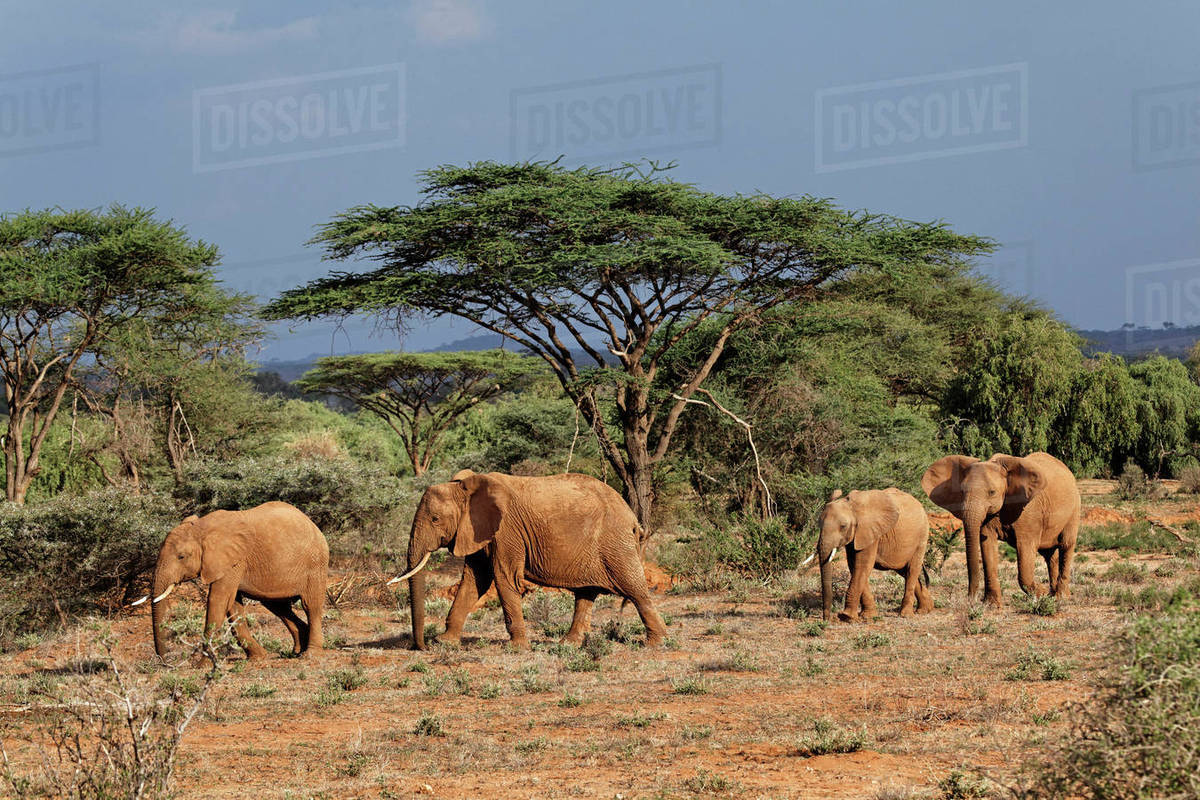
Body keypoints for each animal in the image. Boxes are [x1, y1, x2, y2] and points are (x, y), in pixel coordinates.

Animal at [135, 502, 329, 660]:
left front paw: (202, 665)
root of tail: (312, 524)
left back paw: (310, 655)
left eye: (181, 557)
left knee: (310, 605)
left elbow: (218, 602)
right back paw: (297, 651)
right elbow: (233, 606)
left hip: (315, 564)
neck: (202, 528)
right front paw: (258, 658)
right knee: (279, 608)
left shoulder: (233, 562)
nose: (164, 660)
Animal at [392, 469, 666, 650]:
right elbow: (474, 581)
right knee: (585, 594)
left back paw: (656, 642)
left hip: (615, 543)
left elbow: (504, 579)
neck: (467, 487)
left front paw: (517, 648)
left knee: (635, 589)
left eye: (435, 519)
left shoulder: (506, 531)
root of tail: (632, 518)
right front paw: (445, 642)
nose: (422, 646)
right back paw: (568, 644)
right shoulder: (477, 531)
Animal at [805, 488, 934, 622]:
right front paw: (868, 616)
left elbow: (863, 565)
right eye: (819, 524)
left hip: (922, 535)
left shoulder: (869, 531)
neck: (852, 507)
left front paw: (846, 617)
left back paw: (906, 615)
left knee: (912, 569)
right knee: (904, 570)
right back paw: (926, 609)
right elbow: (854, 565)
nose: (827, 619)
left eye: (843, 526)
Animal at [922, 452, 1080, 606]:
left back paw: (1060, 597)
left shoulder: (1029, 511)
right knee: (1049, 554)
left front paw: (1041, 594)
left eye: (992, 492)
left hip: (1074, 509)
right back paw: (1054, 595)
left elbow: (1025, 548)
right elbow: (987, 546)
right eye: (961, 492)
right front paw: (992, 605)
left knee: (1066, 545)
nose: (971, 599)